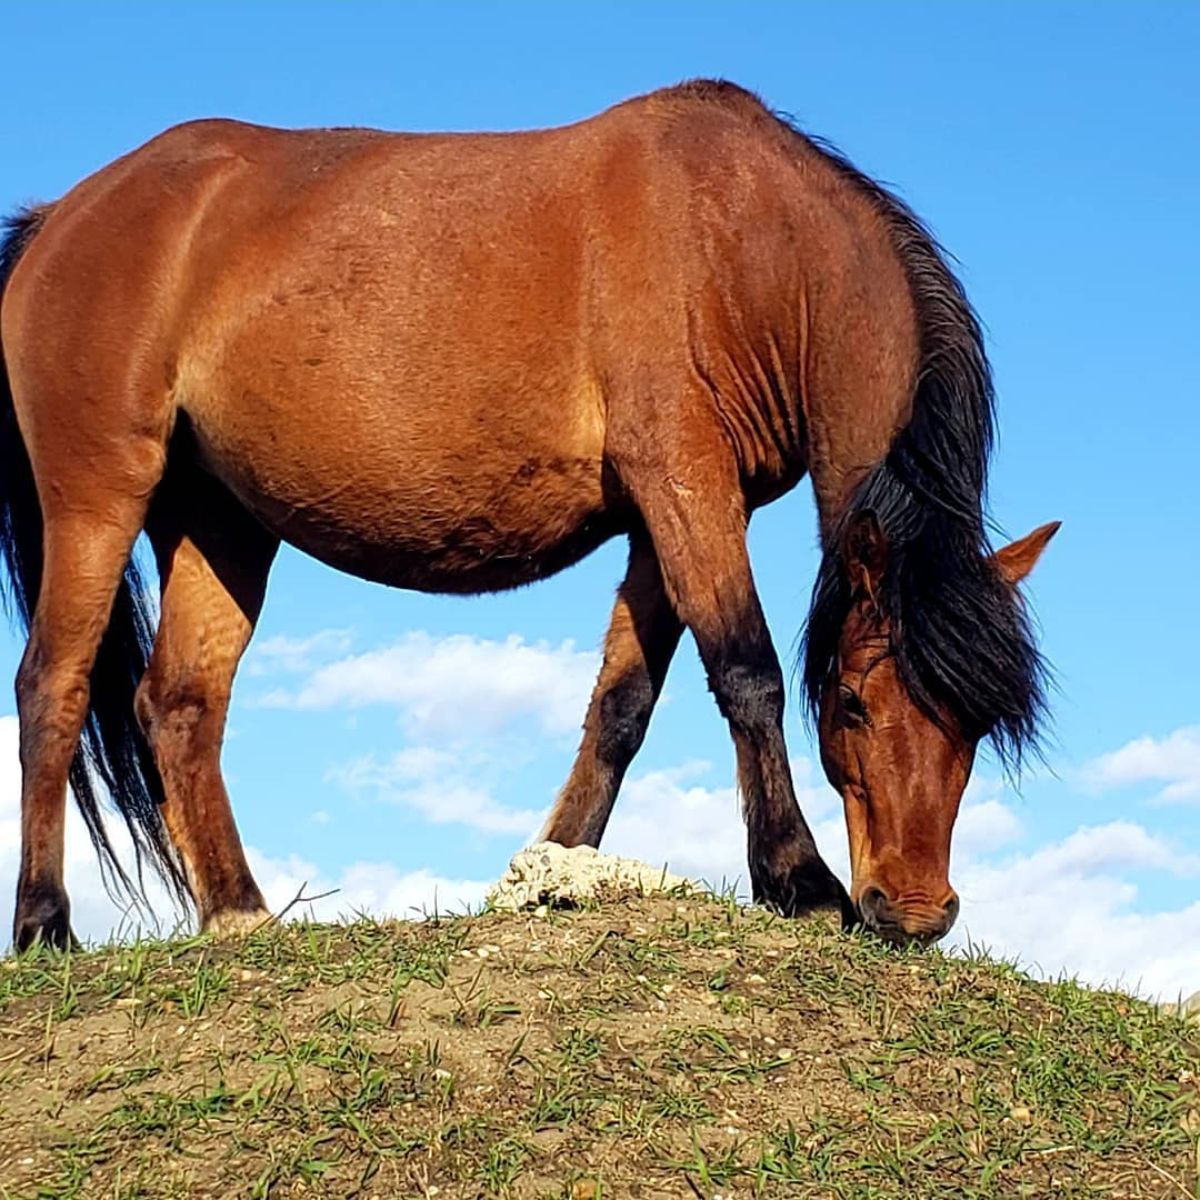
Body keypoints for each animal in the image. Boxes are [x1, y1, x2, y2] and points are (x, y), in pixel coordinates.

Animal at [0, 79, 1056, 950]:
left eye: (976, 725)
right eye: (851, 702)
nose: (913, 913)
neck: (750, 244)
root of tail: (61, 217)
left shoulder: (665, 514)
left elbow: (621, 707)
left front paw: (553, 867)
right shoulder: (685, 483)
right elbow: (745, 670)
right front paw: (799, 879)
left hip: (218, 521)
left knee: (180, 703)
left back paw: (237, 913)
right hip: (98, 494)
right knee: (53, 683)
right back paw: (47, 924)